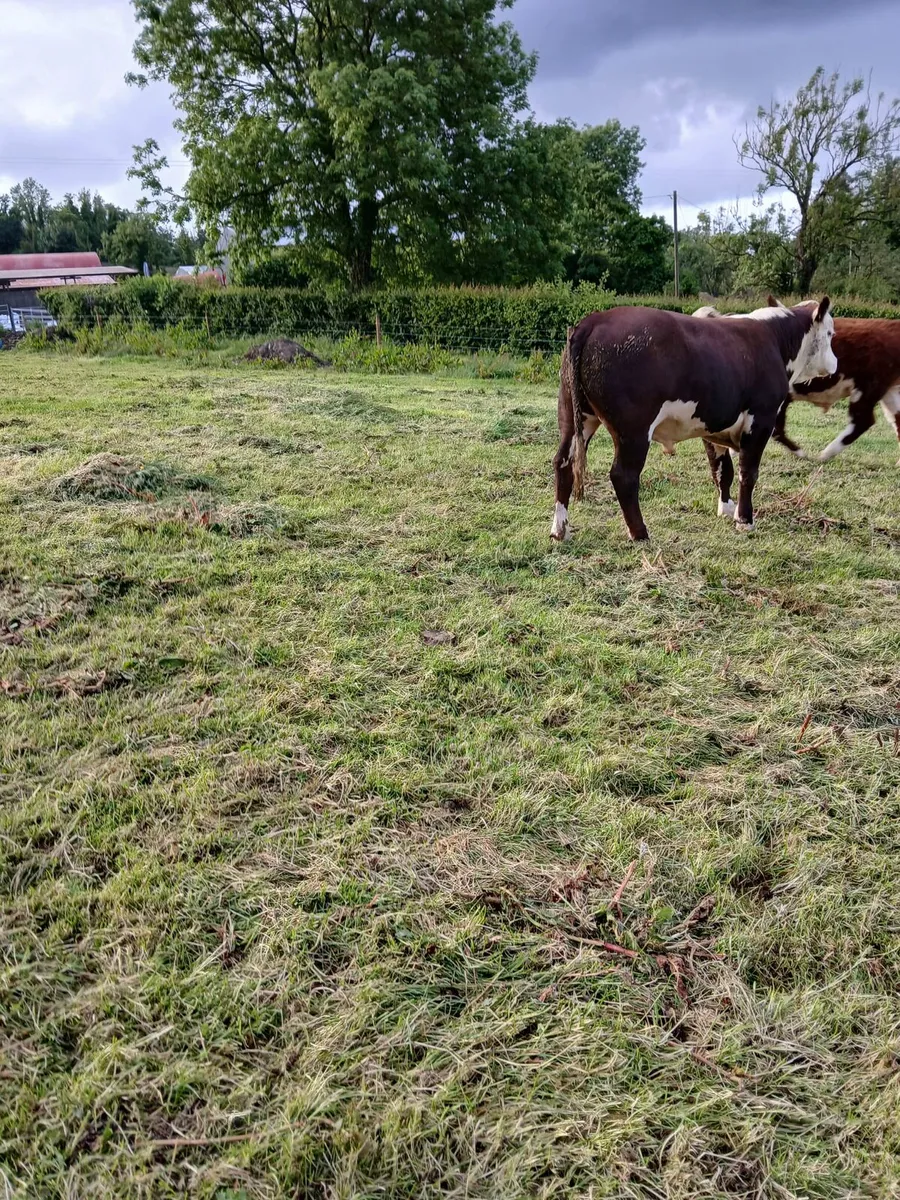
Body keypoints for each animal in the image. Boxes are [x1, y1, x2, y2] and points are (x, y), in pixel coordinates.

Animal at [550, 299, 836, 542]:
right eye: (831, 334)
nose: (834, 363)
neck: (775, 339)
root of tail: (595, 320)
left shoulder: (714, 425)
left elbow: (722, 470)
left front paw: (727, 509)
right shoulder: (761, 419)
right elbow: (748, 473)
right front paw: (744, 520)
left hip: (575, 416)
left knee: (563, 462)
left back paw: (560, 529)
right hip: (633, 429)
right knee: (623, 475)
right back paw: (640, 533)